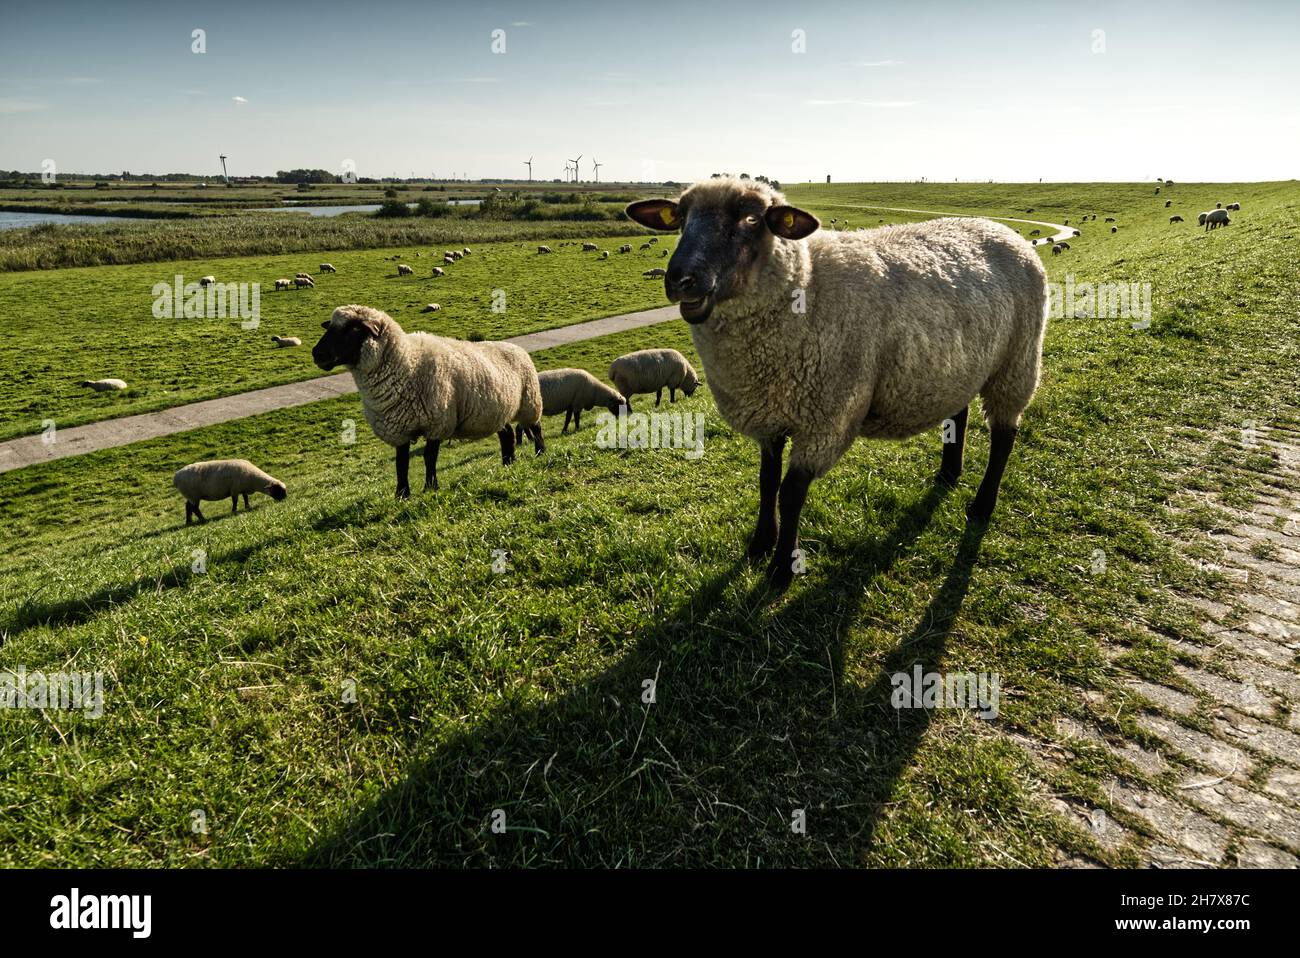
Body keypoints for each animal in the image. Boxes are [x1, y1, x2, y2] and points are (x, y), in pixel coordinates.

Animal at [310, 304, 543, 501]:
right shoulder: (400, 428)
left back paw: (540, 453)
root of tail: (515, 347)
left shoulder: (436, 423)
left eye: (352, 329)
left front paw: (430, 488)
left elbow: (429, 458)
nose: (316, 353)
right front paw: (402, 495)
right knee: (507, 434)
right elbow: (401, 464)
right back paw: (508, 463)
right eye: (330, 327)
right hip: (495, 412)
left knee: (535, 427)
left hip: (529, 401)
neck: (406, 363)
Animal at [626, 174, 1045, 587]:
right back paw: (947, 475)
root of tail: (1000, 229)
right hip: (959, 366)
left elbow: (790, 492)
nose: (681, 280)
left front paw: (782, 568)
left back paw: (982, 505)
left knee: (1004, 436)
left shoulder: (827, 419)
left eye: (750, 219)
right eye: (681, 218)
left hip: (1017, 362)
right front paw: (760, 543)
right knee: (958, 413)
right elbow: (766, 481)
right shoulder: (768, 416)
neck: (805, 284)